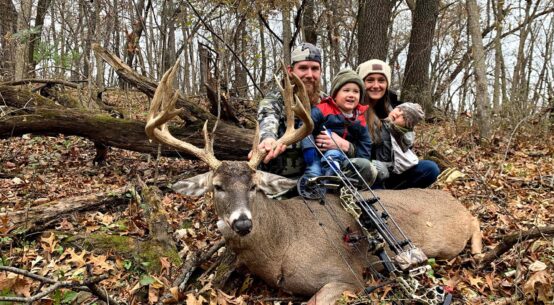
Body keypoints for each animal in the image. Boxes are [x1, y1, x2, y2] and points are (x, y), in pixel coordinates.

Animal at [146, 61, 478, 304]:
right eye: (217, 187)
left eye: (253, 186)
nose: (241, 223)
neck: (279, 247)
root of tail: (455, 201)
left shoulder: (346, 275)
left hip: (449, 239)